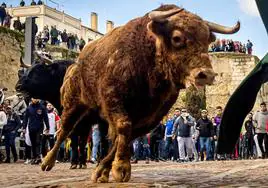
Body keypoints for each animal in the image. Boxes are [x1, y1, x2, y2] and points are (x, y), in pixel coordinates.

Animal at [40, 4, 240, 183]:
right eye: (177, 38)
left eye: (207, 40)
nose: (206, 74)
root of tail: (76, 63)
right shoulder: (114, 101)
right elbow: (123, 127)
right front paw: (120, 169)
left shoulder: (150, 117)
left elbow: (126, 137)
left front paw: (104, 170)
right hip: (73, 104)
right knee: (65, 129)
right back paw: (46, 162)